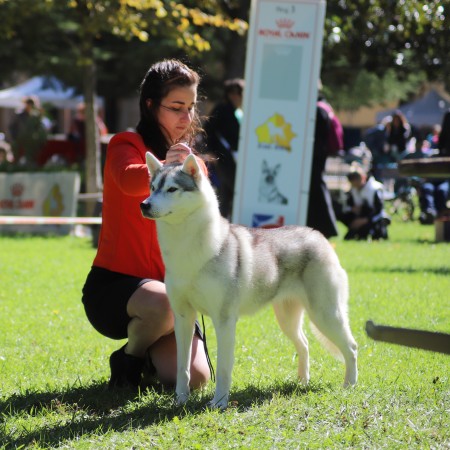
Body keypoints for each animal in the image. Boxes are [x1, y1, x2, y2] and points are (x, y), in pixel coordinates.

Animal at [141, 153, 358, 410]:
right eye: (152, 188)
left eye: (172, 189)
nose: (144, 204)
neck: (187, 250)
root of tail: (318, 236)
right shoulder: (183, 317)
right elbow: (182, 367)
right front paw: (180, 400)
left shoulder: (224, 320)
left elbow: (223, 367)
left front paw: (219, 403)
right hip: (288, 319)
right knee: (304, 344)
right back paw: (302, 382)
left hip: (325, 315)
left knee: (351, 347)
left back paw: (349, 386)